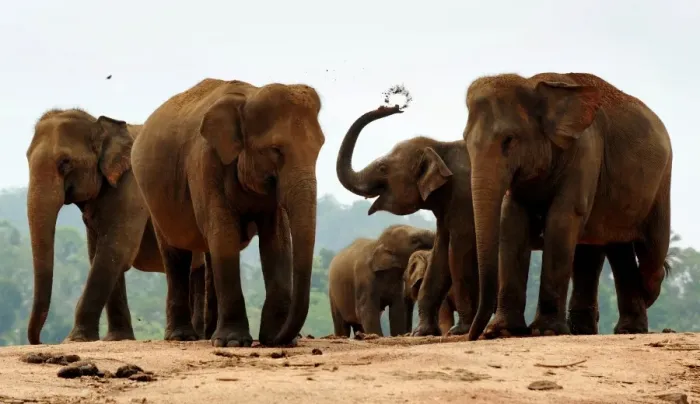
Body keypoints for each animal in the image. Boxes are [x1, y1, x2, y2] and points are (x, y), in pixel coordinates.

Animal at [25, 108, 258, 344]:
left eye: (65, 162)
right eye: (26, 158)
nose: (40, 341)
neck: (100, 125)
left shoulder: (131, 189)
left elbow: (116, 250)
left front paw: (75, 340)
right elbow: (100, 254)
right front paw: (116, 339)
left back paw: (203, 336)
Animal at [130, 78, 324, 347]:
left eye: (319, 148)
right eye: (275, 150)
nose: (273, 339)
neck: (248, 97)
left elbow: (277, 241)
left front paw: (276, 338)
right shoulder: (206, 163)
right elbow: (225, 233)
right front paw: (233, 342)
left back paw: (209, 335)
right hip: (155, 199)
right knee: (176, 253)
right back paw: (183, 337)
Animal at [336, 105, 649, 338]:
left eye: (383, 167)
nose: (393, 107)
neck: (440, 147)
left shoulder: (463, 200)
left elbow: (458, 251)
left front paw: (460, 330)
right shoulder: (448, 208)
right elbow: (441, 254)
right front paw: (422, 334)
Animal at [463, 72, 672, 340]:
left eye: (509, 140)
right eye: (466, 141)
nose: (473, 335)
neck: (534, 84)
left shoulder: (585, 153)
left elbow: (562, 218)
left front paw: (546, 331)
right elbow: (512, 222)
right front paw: (504, 331)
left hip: (660, 184)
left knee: (651, 252)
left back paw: (646, 296)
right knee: (611, 250)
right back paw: (601, 330)